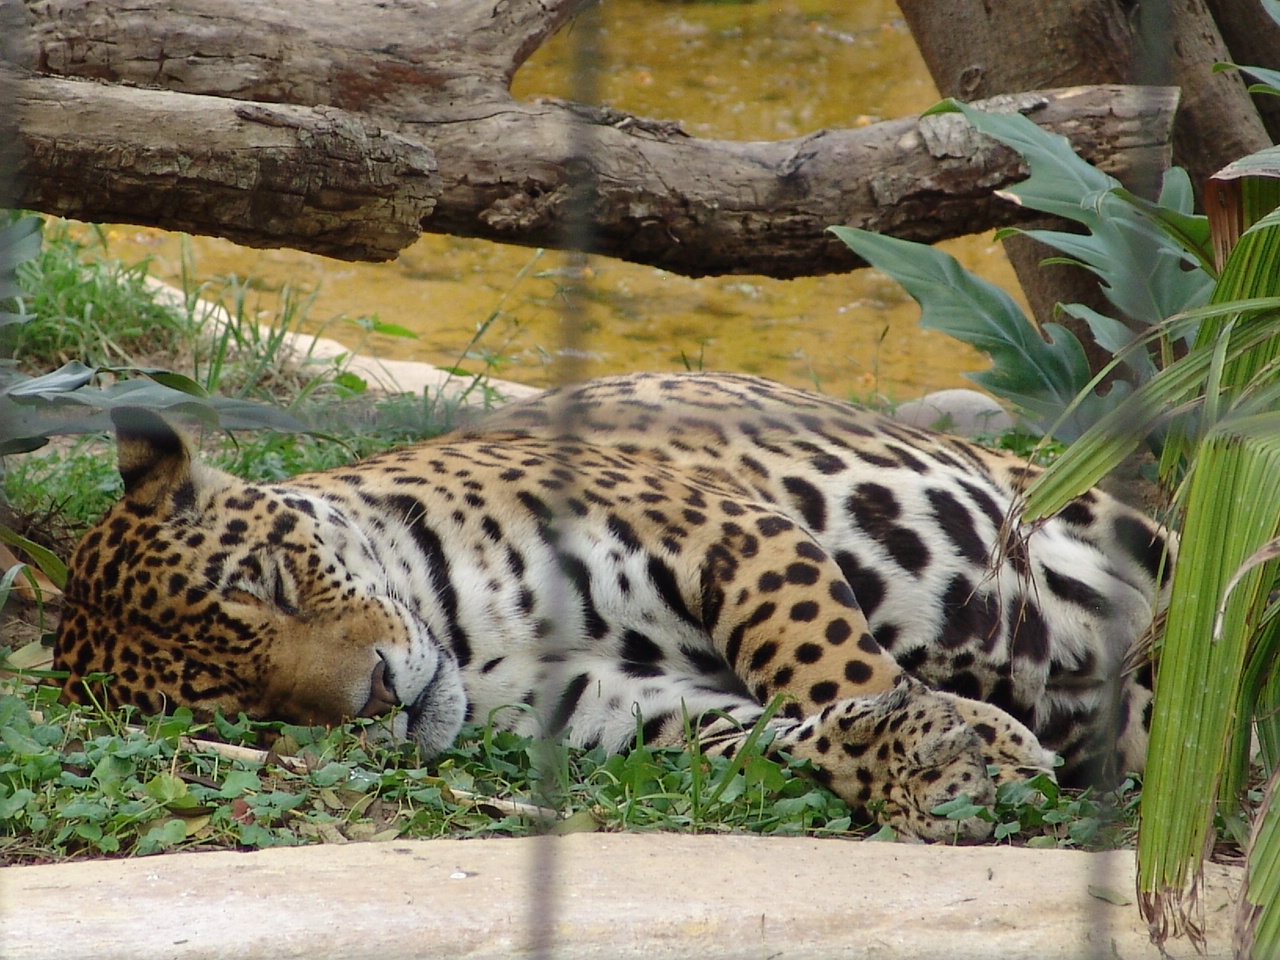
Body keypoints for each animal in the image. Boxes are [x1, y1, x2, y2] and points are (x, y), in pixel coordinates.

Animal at [52, 372, 1173, 841]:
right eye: (242, 711)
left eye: (268, 584)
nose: (374, 698)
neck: (460, 629)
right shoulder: (603, 703)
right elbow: (762, 734)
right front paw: (911, 758)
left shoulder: (730, 533)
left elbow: (825, 665)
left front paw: (954, 745)